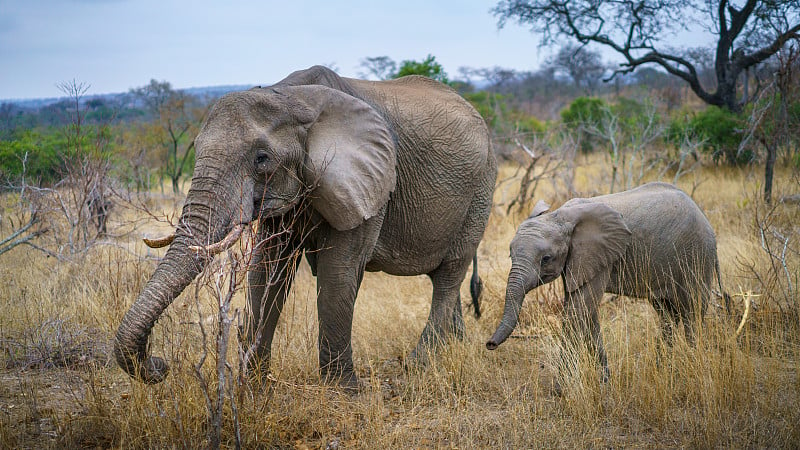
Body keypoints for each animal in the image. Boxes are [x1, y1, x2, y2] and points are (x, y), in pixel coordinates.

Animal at [115, 65, 496, 388]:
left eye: (262, 158)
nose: (159, 365)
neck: (292, 97)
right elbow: (266, 270)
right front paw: (254, 387)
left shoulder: (370, 184)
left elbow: (338, 273)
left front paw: (342, 392)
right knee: (444, 278)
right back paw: (453, 348)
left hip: (480, 190)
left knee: (449, 273)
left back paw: (419, 365)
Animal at [488, 181, 724, 378]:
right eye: (510, 255)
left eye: (546, 259)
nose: (489, 344)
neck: (560, 215)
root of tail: (706, 220)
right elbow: (586, 311)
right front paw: (604, 380)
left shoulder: (601, 256)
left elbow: (578, 311)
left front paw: (561, 390)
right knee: (667, 314)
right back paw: (663, 368)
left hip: (697, 256)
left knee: (692, 312)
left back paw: (693, 366)